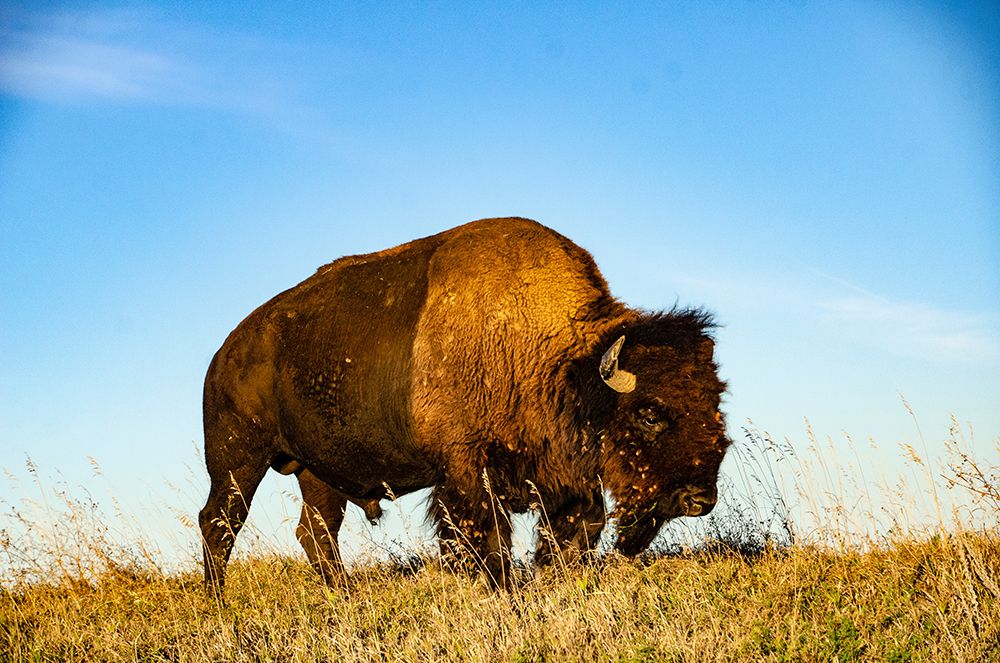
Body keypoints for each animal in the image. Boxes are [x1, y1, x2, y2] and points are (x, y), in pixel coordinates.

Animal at [200, 217, 730, 592]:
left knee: (316, 532)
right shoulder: (466, 469)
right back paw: (218, 602)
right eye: (650, 413)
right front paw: (503, 590)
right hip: (237, 463)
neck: (561, 361)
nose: (699, 499)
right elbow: (485, 537)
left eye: (715, 403)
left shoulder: (563, 477)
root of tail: (225, 353)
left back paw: (344, 595)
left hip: (318, 473)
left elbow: (576, 530)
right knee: (218, 524)